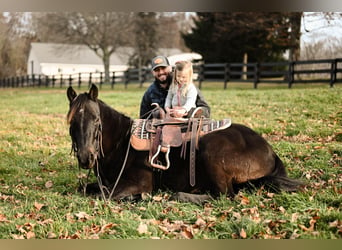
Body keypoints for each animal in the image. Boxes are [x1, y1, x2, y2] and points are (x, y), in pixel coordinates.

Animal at [66, 84, 302, 203]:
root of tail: (269, 151)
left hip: (211, 152)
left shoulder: (138, 184)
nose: (86, 157)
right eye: (72, 122)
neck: (121, 146)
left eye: (96, 121)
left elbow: (102, 195)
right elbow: (85, 188)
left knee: (225, 196)